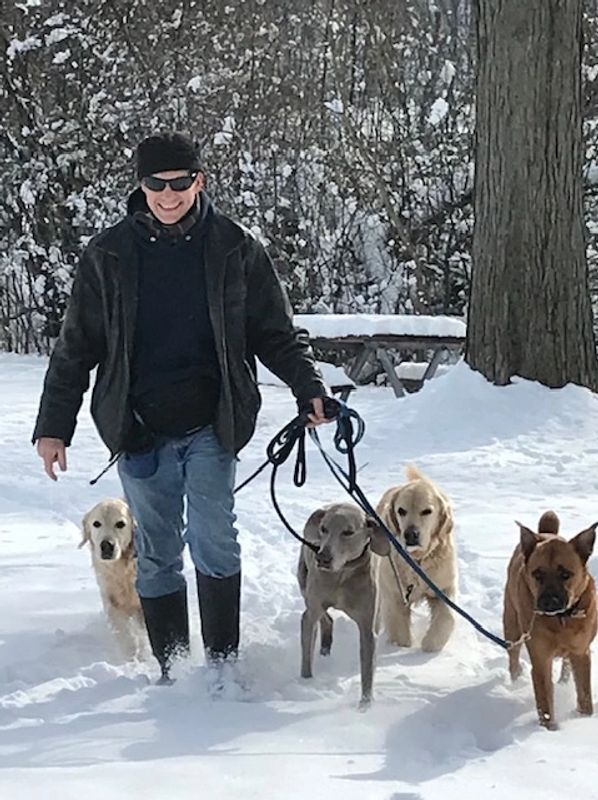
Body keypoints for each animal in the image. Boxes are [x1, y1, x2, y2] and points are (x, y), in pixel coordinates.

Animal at [80, 496, 147, 660]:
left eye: (120, 524)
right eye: (96, 523)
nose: (106, 546)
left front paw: (144, 656)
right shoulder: (112, 601)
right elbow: (124, 633)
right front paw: (130, 656)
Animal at [504, 512, 596, 732]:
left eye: (565, 574)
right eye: (537, 574)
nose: (547, 602)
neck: (561, 619)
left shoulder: (581, 652)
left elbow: (585, 694)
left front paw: (584, 719)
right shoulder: (540, 658)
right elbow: (545, 700)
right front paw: (549, 730)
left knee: (566, 664)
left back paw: (563, 681)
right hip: (511, 623)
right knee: (513, 655)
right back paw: (514, 682)